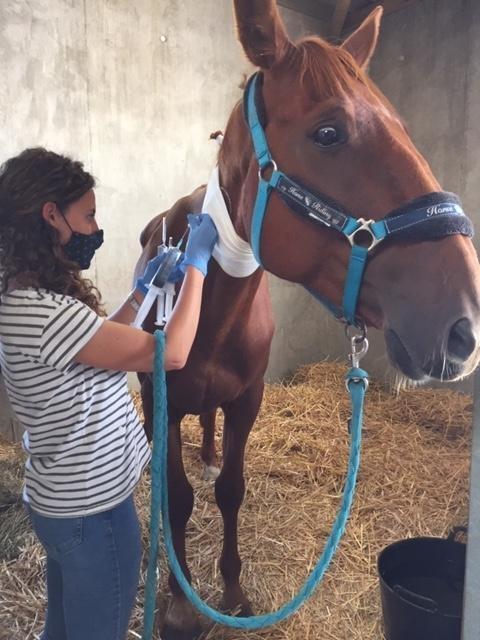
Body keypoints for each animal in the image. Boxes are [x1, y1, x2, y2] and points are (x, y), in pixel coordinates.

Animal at [133, 2, 480, 636]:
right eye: (327, 133)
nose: (462, 324)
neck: (212, 311)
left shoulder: (247, 400)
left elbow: (231, 489)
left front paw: (233, 589)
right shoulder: (162, 399)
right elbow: (178, 497)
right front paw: (180, 604)